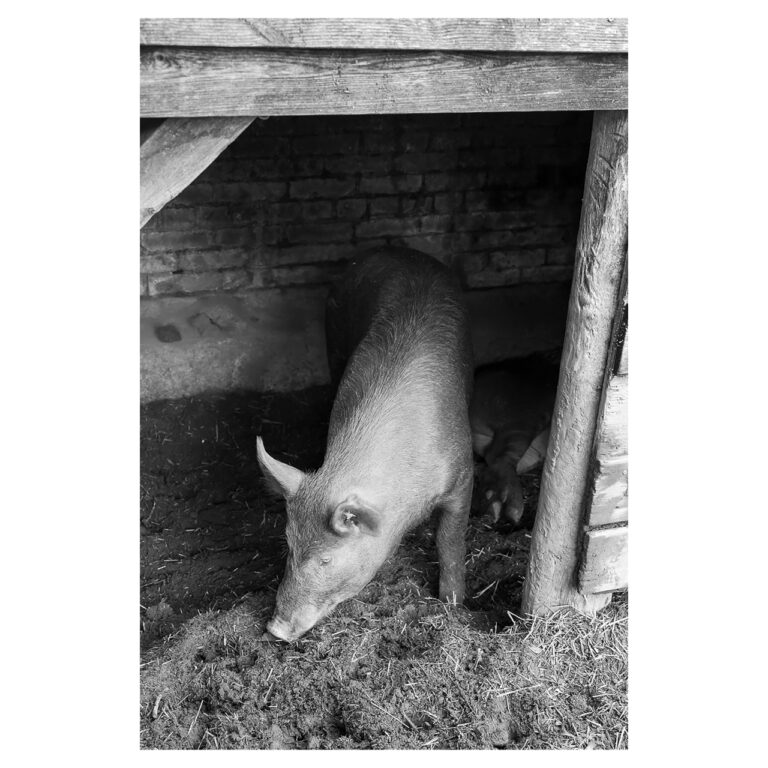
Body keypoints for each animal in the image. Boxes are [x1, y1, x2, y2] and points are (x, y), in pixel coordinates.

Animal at [257, 247, 474, 642]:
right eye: (289, 544)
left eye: (326, 559)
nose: (275, 629)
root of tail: (393, 249)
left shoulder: (463, 475)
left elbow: (450, 540)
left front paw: (453, 604)